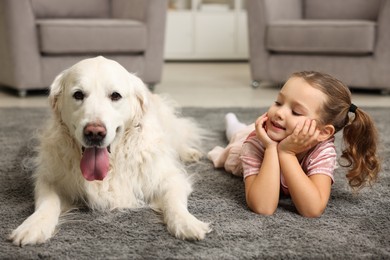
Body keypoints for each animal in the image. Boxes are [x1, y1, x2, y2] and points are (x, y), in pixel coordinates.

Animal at [9, 55, 210, 245]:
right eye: (78, 94)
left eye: (115, 96)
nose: (94, 133)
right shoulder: (50, 179)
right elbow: (47, 202)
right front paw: (33, 226)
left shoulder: (169, 178)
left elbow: (174, 201)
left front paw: (186, 223)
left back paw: (189, 152)